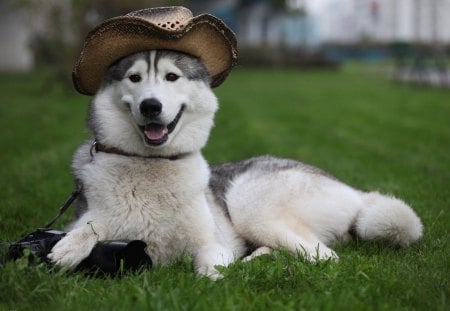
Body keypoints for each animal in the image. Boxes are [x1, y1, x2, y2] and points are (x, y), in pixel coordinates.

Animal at [48, 50, 422, 280]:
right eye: (134, 78)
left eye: (171, 77)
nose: (151, 106)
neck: (152, 166)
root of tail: (353, 191)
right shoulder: (93, 217)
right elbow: (91, 225)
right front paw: (70, 246)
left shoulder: (212, 245)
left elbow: (206, 272)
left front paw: (219, 277)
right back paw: (258, 259)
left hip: (249, 204)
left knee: (323, 256)